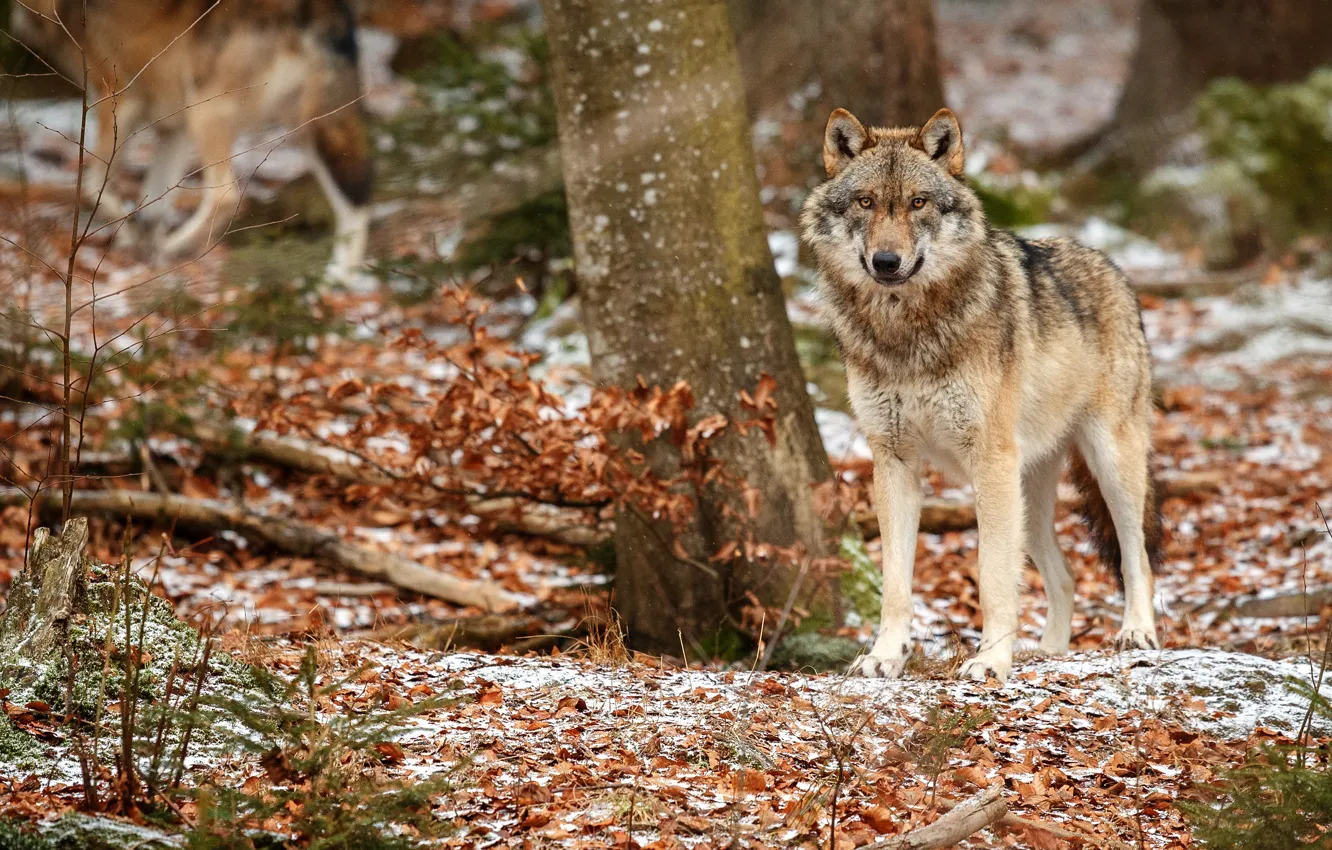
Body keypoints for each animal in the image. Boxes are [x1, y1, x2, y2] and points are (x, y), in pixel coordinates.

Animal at [10, 0, 373, 280]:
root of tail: (317, 9)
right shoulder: (174, 128)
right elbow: (153, 204)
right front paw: (144, 249)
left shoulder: (115, 100)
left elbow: (95, 185)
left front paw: (132, 240)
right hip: (313, 132)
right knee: (357, 205)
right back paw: (338, 282)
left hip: (208, 112)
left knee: (226, 195)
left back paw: (177, 247)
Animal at [800, 107, 1163, 683]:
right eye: (866, 202)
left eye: (918, 202)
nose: (886, 261)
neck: (907, 334)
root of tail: (1112, 267)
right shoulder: (893, 462)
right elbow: (895, 584)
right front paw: (885, 655)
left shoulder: (988, 461)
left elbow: (991, 575)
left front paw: (991, 660)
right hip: (1027, 498)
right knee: (1066, 577)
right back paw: (1048, 652)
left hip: (1107, 467)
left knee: (1137, 558)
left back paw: (1136, 633)